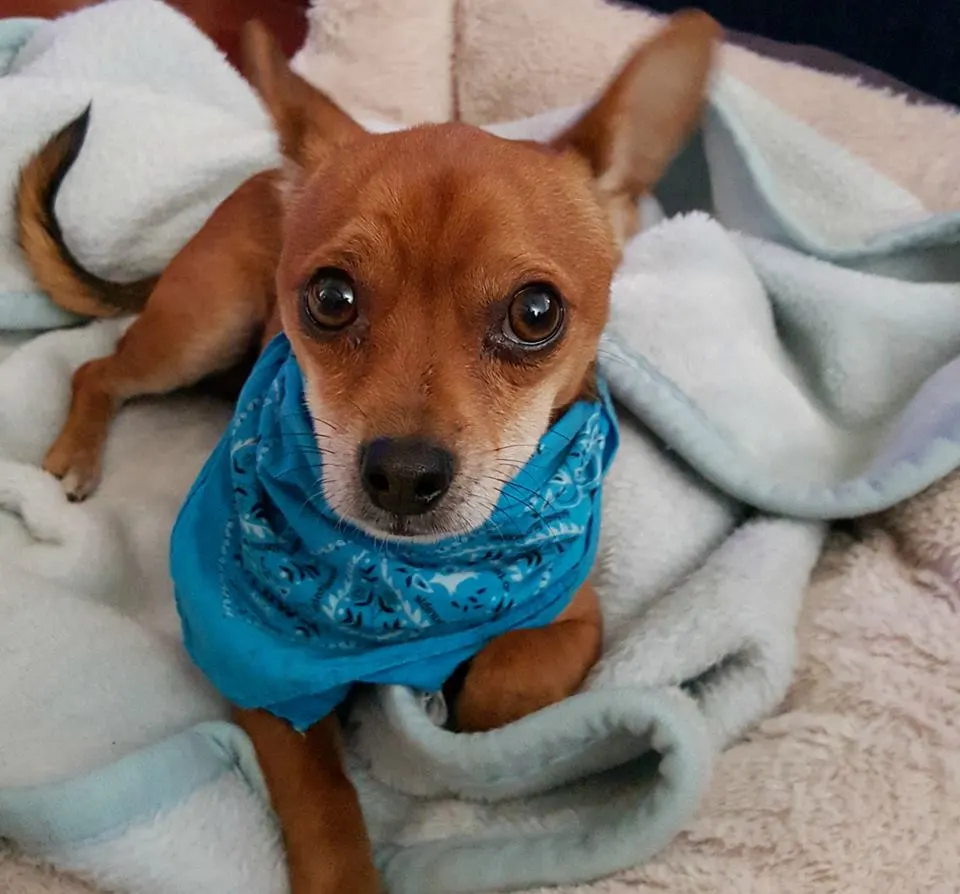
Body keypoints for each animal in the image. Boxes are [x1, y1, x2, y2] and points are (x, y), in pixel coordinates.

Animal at [15, 14, 720, 894]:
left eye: (536, 312)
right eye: (329, 297)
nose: (403, 476)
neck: (408, 579)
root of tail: (265, 176)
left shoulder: (574, 616)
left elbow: (506, 692)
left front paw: (449, 693)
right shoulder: (263, 677)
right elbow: (320, 797)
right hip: (198, 326)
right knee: (97, 368)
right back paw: (75, 453)